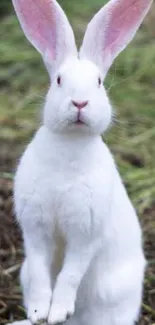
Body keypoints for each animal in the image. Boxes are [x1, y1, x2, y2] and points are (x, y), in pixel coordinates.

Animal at [9, 1, 153, 324]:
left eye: (98, 83)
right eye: (59, 80)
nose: (79, 103)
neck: (69, 146)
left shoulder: (85, 233)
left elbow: (70, 274)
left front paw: (58, 312)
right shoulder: (35, 230)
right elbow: (40, 272)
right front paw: (40, 312)